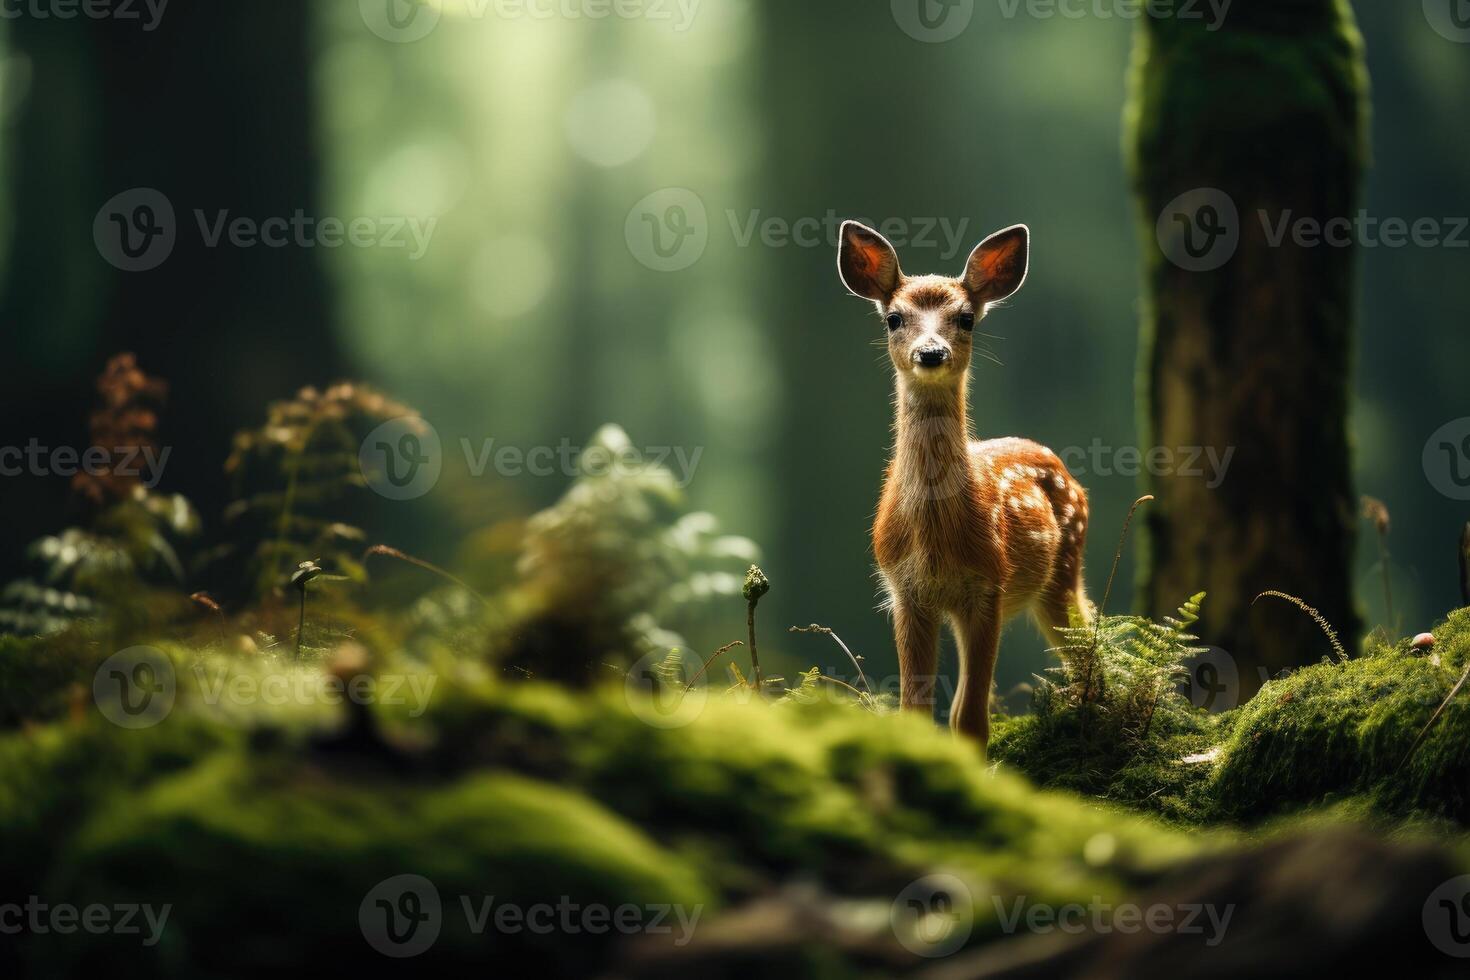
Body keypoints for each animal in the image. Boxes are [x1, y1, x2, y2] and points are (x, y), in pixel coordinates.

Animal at [840, 218, 1093, 746]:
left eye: (967, 318)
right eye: (893, 318)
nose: (931, 352)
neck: (936, 535)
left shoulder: (988, 584)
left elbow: (972, 721)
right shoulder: (905, 591)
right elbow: (918, 710)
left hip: (1062, 569)